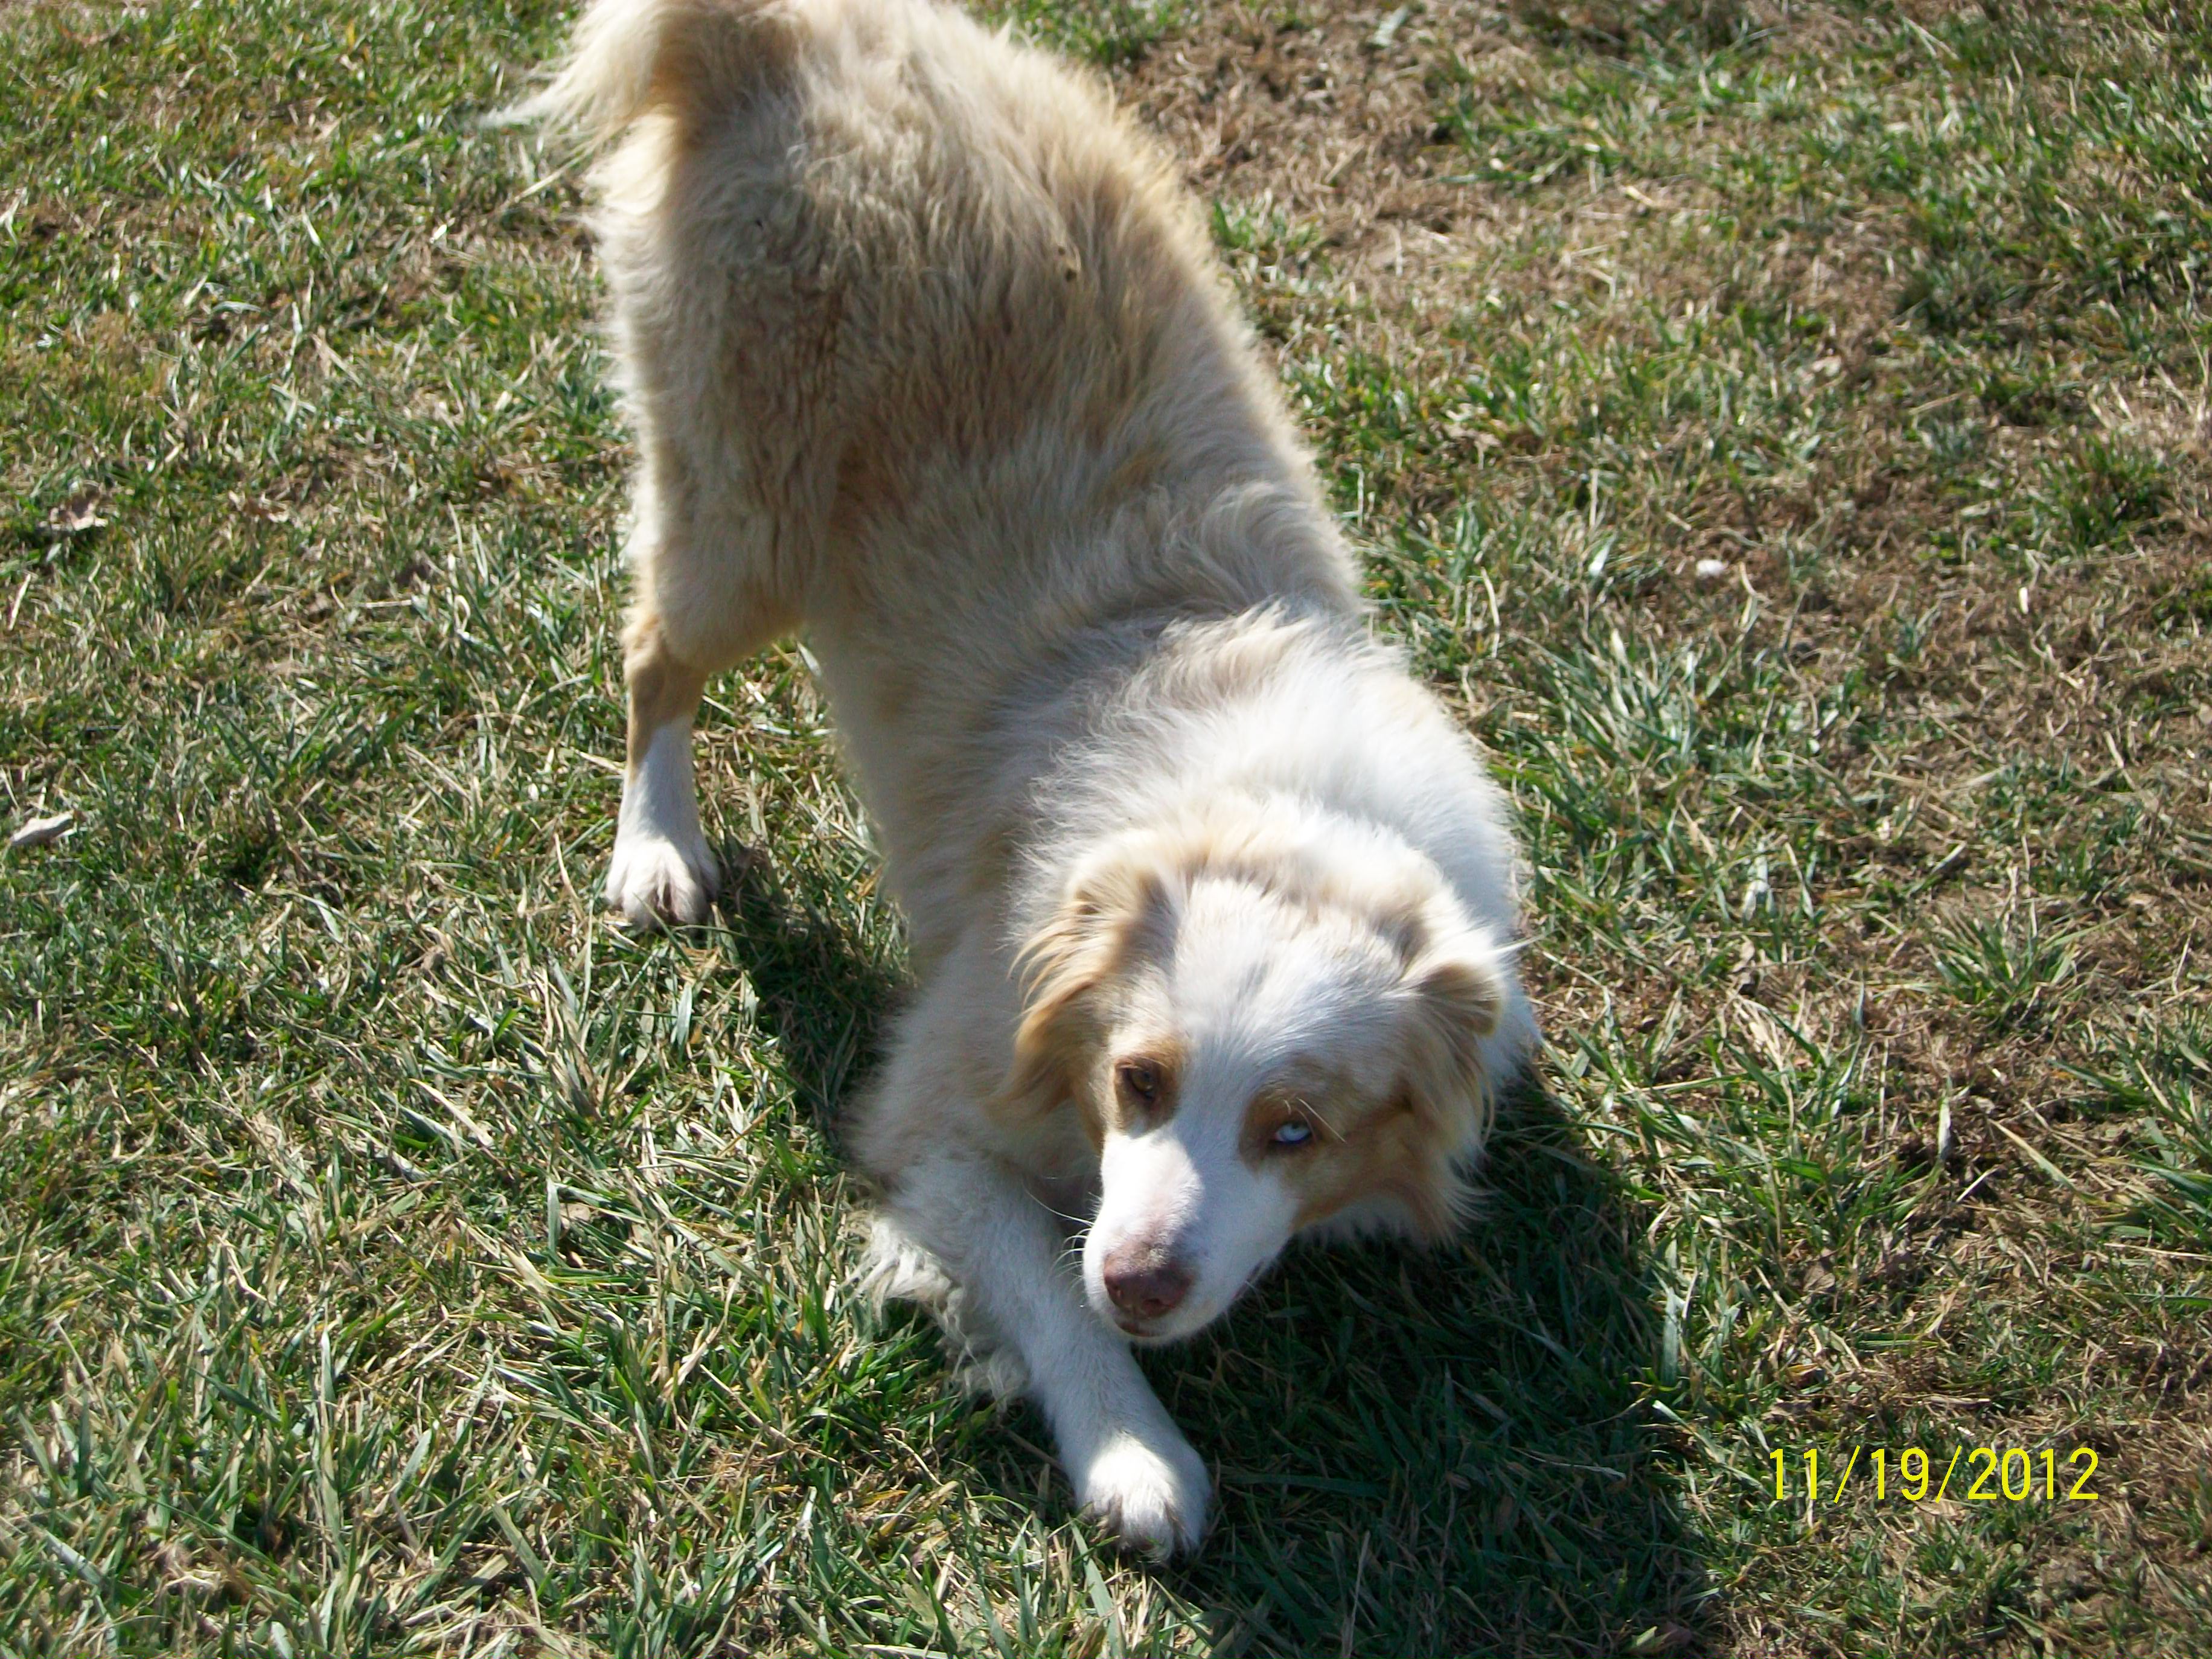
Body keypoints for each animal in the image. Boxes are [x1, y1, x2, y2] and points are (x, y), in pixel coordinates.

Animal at [521, 0, 1538, 1554]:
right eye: (1137, 1078)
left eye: (1293, 1128)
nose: (1142, 1283)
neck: (1283, 816)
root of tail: (781, 36)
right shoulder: (932, 1100)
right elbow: (1037, 1280)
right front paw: (1128, 1447)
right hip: (743, 520)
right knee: (650, 652)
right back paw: (656, 846)